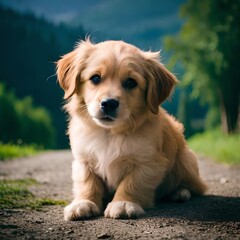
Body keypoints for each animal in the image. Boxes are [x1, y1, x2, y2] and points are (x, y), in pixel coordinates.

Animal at [56, 39, 206, 221]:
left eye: (131, 82)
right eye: (95, 78)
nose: (109, 103)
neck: (109, 134)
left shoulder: (147, 163)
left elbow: (131, 183)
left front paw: (123, 203)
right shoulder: (83, 160)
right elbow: (87, 182)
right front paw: (83, 203)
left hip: (185, 161)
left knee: (195, 187)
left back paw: (180, 192)